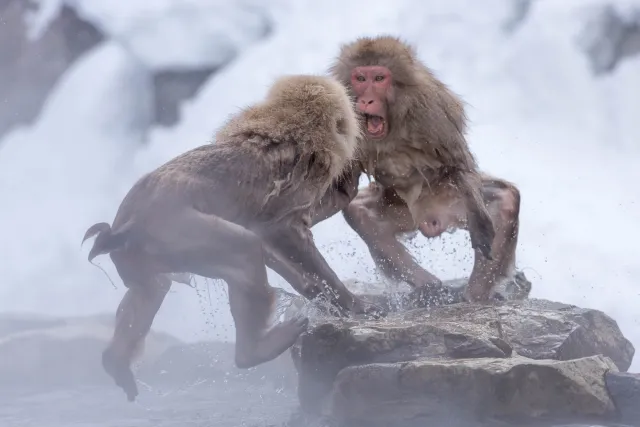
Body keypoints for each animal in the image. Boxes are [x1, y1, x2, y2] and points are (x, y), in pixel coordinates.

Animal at [83, 75, 388, 402]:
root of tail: (124, 228)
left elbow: (267, 238)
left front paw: (317, 293)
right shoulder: (301, 185)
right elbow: (279, 231)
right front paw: (352, 303)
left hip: (140, 257)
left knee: (152, 289)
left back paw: (115, 361)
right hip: (180, 231)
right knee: (245, 250)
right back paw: (253, 351)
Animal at [304, 36, 520, 304]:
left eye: (379, 78)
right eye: (360, 78)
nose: (366, 100)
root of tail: (430, 220)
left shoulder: (432, 113)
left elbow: (459, 163)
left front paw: (480, 223)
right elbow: (343, 188)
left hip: (450, 201)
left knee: (505, 200)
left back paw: (475, 296)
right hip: (402, 210)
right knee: (359, 211)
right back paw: (428, 285)